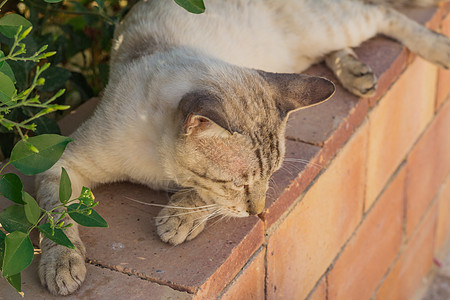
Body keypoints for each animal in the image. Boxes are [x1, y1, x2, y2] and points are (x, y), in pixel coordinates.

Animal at [36, 0, 450, 296]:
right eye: (239, 182)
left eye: (270, 178)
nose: (259, 212)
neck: (161, 170)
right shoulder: (59, 163)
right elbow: (54, 218)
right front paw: (62, 266)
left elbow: (202, 199)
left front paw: (177, 218)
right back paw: (358, 75)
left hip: (321, 30)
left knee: (380, 13)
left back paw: (436, 52)